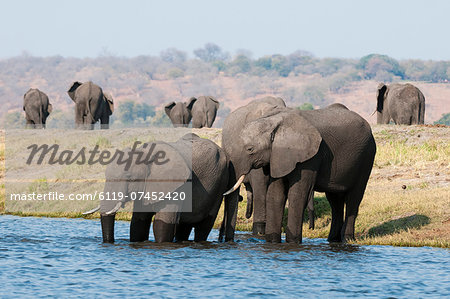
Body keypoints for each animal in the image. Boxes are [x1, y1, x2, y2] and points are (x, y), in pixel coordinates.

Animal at [83, 134, 229, 244]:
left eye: (130, 178)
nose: (109, 242)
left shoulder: (175, 186)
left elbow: (162, 224)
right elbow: (138, 222)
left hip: (220, 185)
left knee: (204, 226)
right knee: (184, 227)